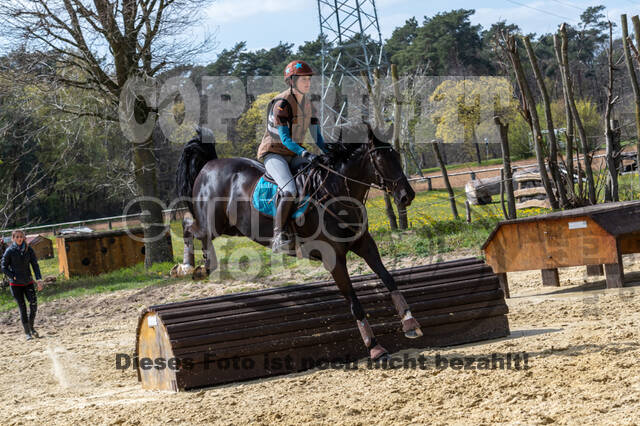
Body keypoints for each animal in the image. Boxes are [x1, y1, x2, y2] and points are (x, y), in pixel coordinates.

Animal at [175, 123, 422, 360]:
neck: (337, 194)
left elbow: (388, 279)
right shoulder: (333, 258)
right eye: (380, 159)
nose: (407, 196)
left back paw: (201, 266)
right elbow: (354, 302)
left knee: (195, 230)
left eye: (397, 156)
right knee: (190, 227)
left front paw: (410, 323)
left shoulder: (365, 244)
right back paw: (189, 268)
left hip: (232, 228)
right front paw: (375, 348)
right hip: (213, 224)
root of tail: (210, 164)